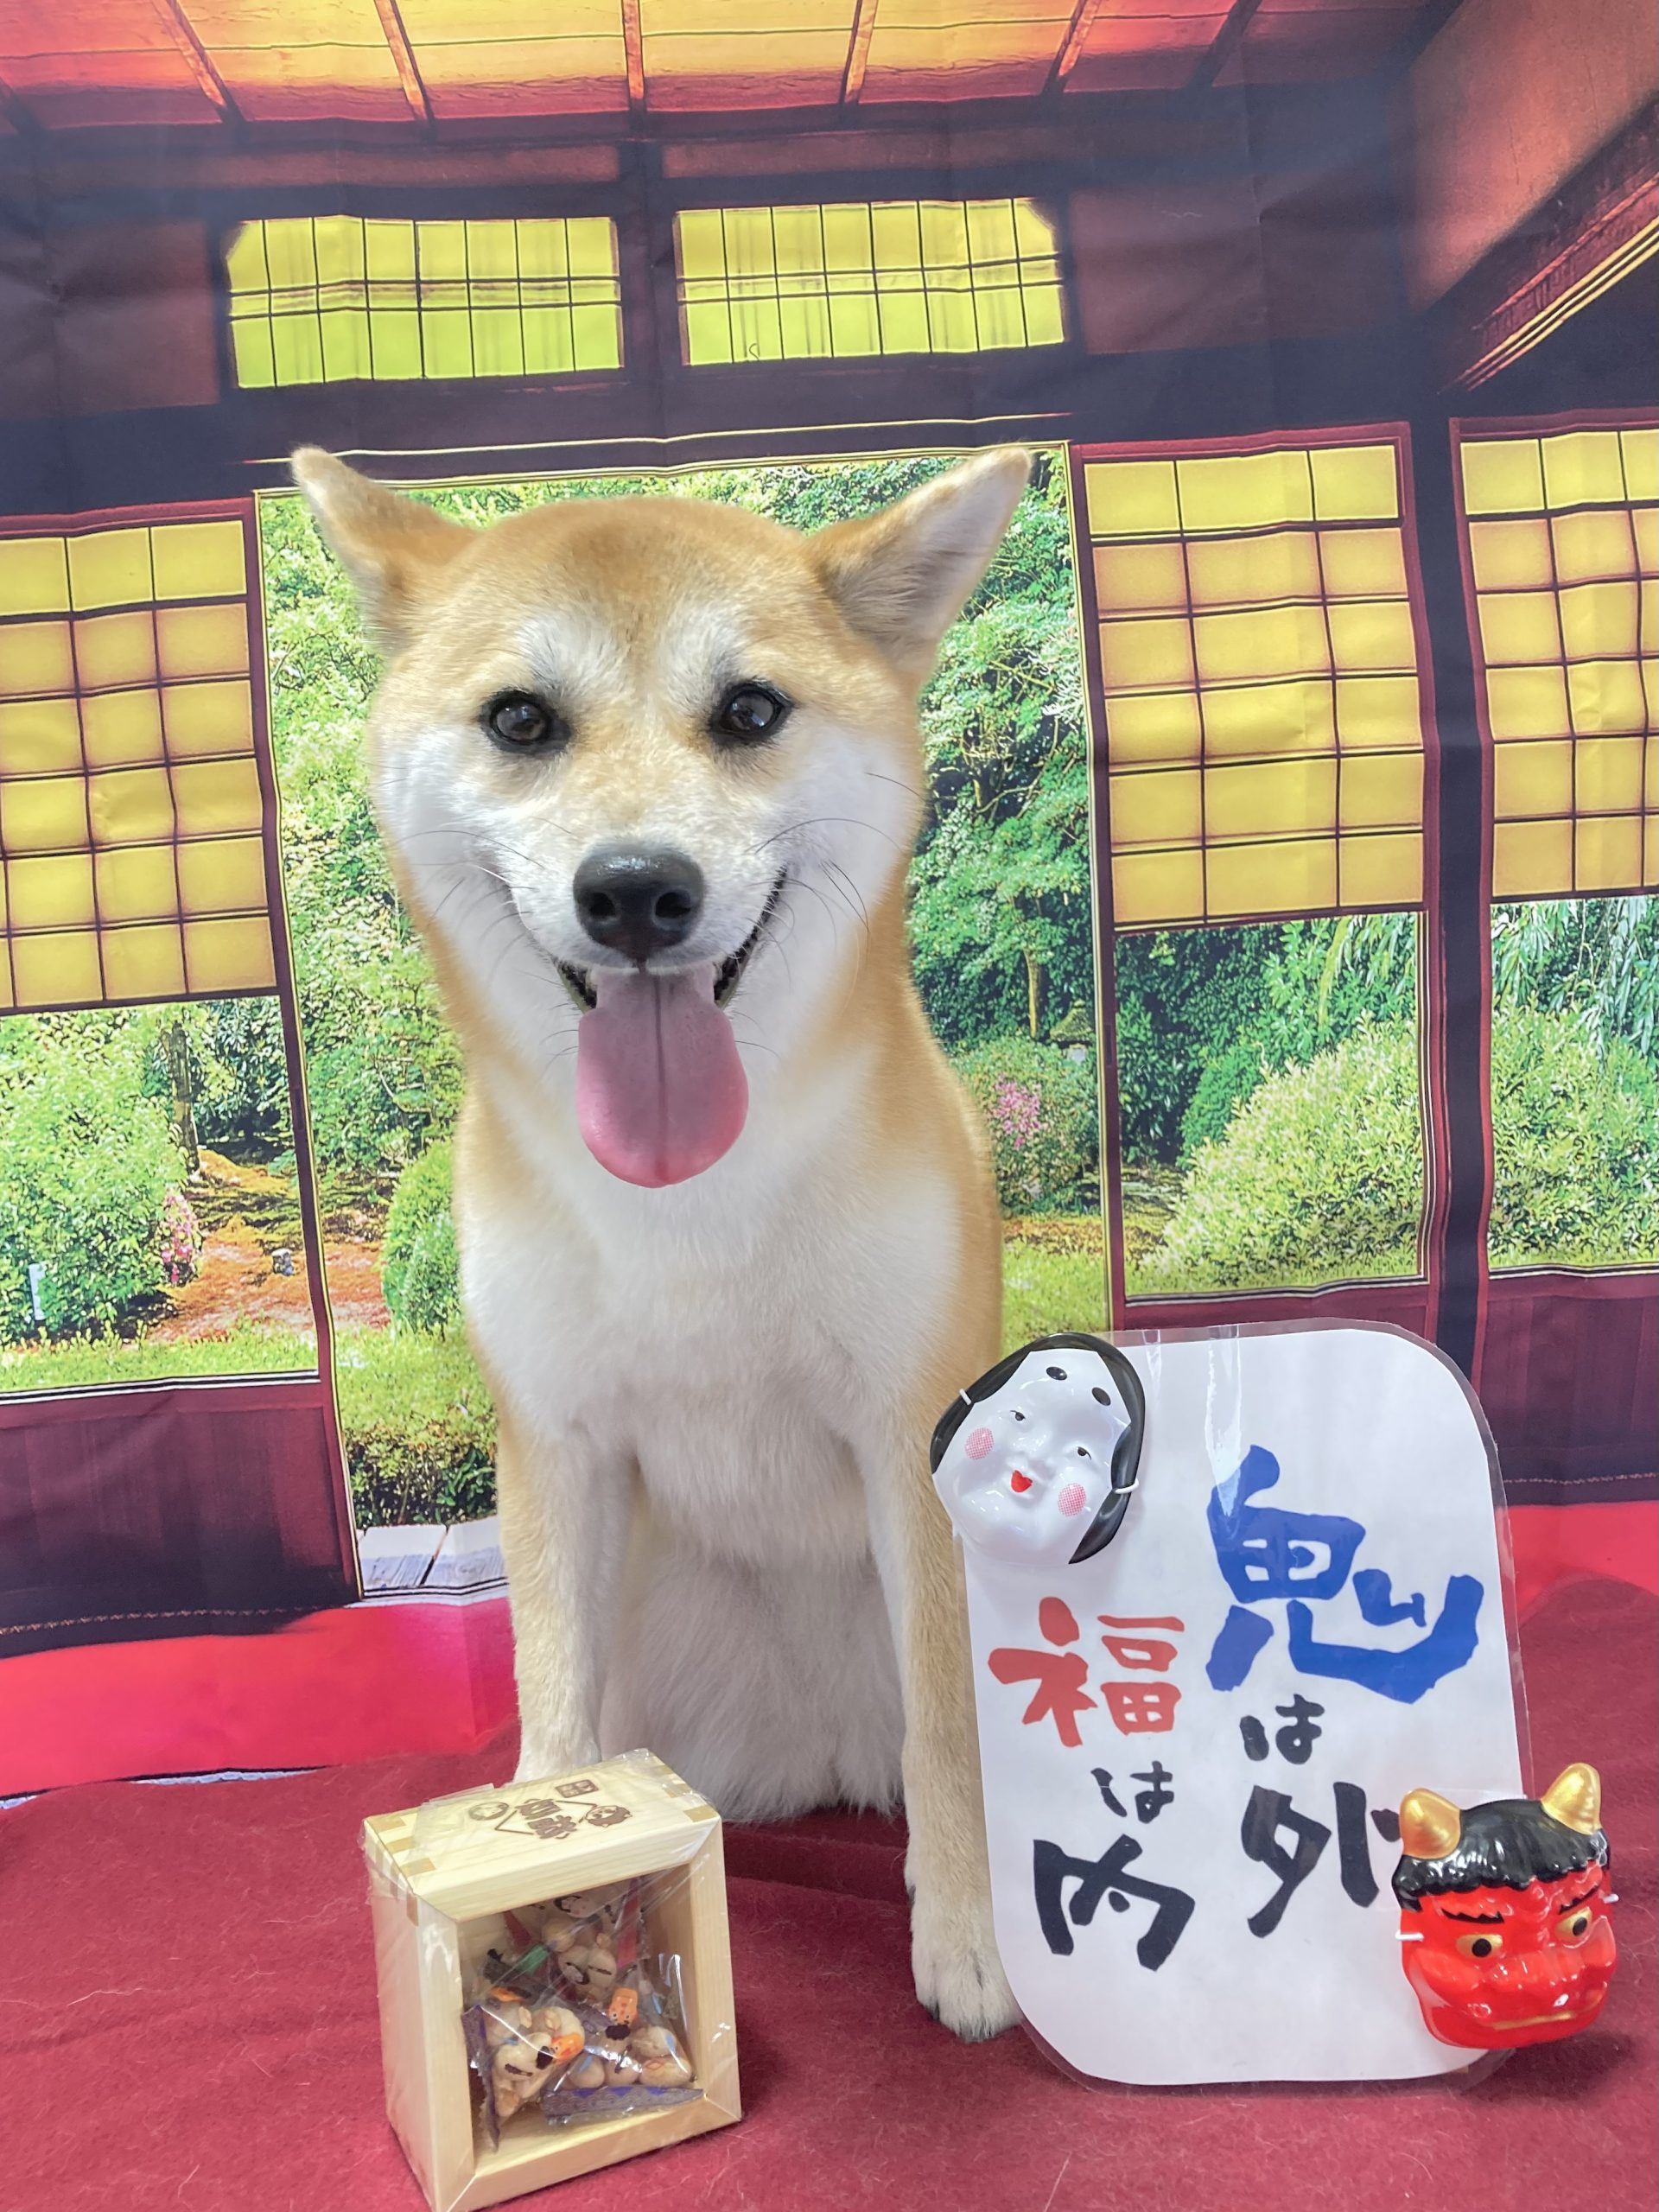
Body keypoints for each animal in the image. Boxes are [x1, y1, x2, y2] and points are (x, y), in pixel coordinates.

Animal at [293, 445, 1031, 2038]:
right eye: (521, 718)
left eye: (748, 711)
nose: (636, 888)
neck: (686, 1201)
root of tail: (815, 1759)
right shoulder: (558, 1447)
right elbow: (557, 1710)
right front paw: (525, 1899)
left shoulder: (914, 1436)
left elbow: (952, 1734)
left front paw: (975, 1937)